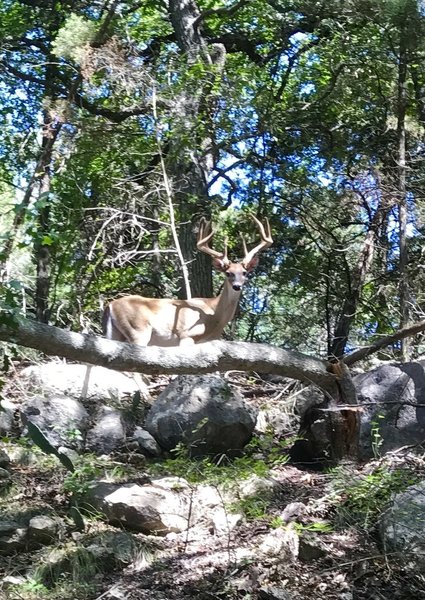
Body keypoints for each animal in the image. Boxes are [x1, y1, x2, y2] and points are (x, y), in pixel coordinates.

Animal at [102, 216, 272, 346]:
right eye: (228, 273)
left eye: (244, 273)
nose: (237, 286)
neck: (214, 314)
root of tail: (110, 305)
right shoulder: (186, 335)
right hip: (138, 330)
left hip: (116, 334)